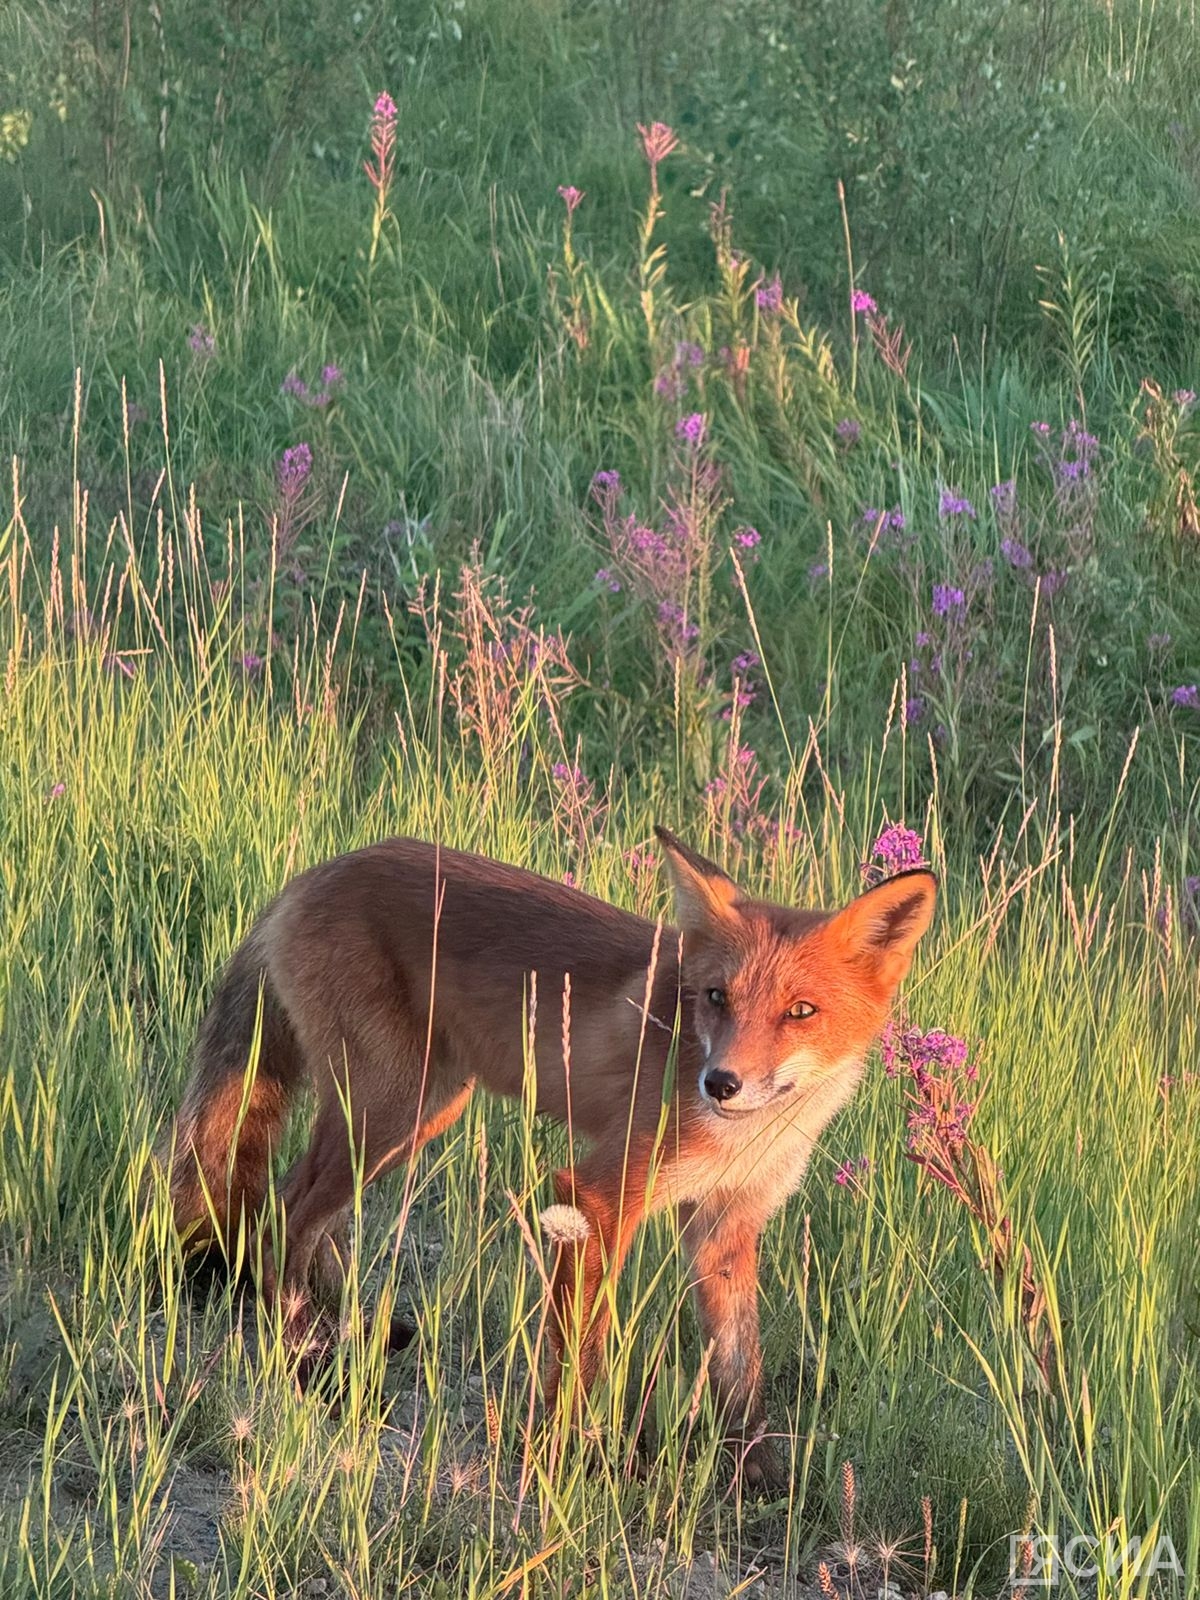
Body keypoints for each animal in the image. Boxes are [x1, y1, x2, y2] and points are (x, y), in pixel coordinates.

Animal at [167, 832, 940, 1478]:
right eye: (717, 997)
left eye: (801, 1011)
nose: (720, 1083)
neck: (752, 1133)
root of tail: (309, 877)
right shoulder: (597, 1196)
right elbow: (581, 1353)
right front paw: (570, 1452)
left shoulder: (726, 1226)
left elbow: (738, 1370)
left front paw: (758, 1476)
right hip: (392, 1111)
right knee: (285, 1215)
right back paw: (302, 1355)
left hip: (417, 1111)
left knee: (289, 1207)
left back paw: (342, 1325)